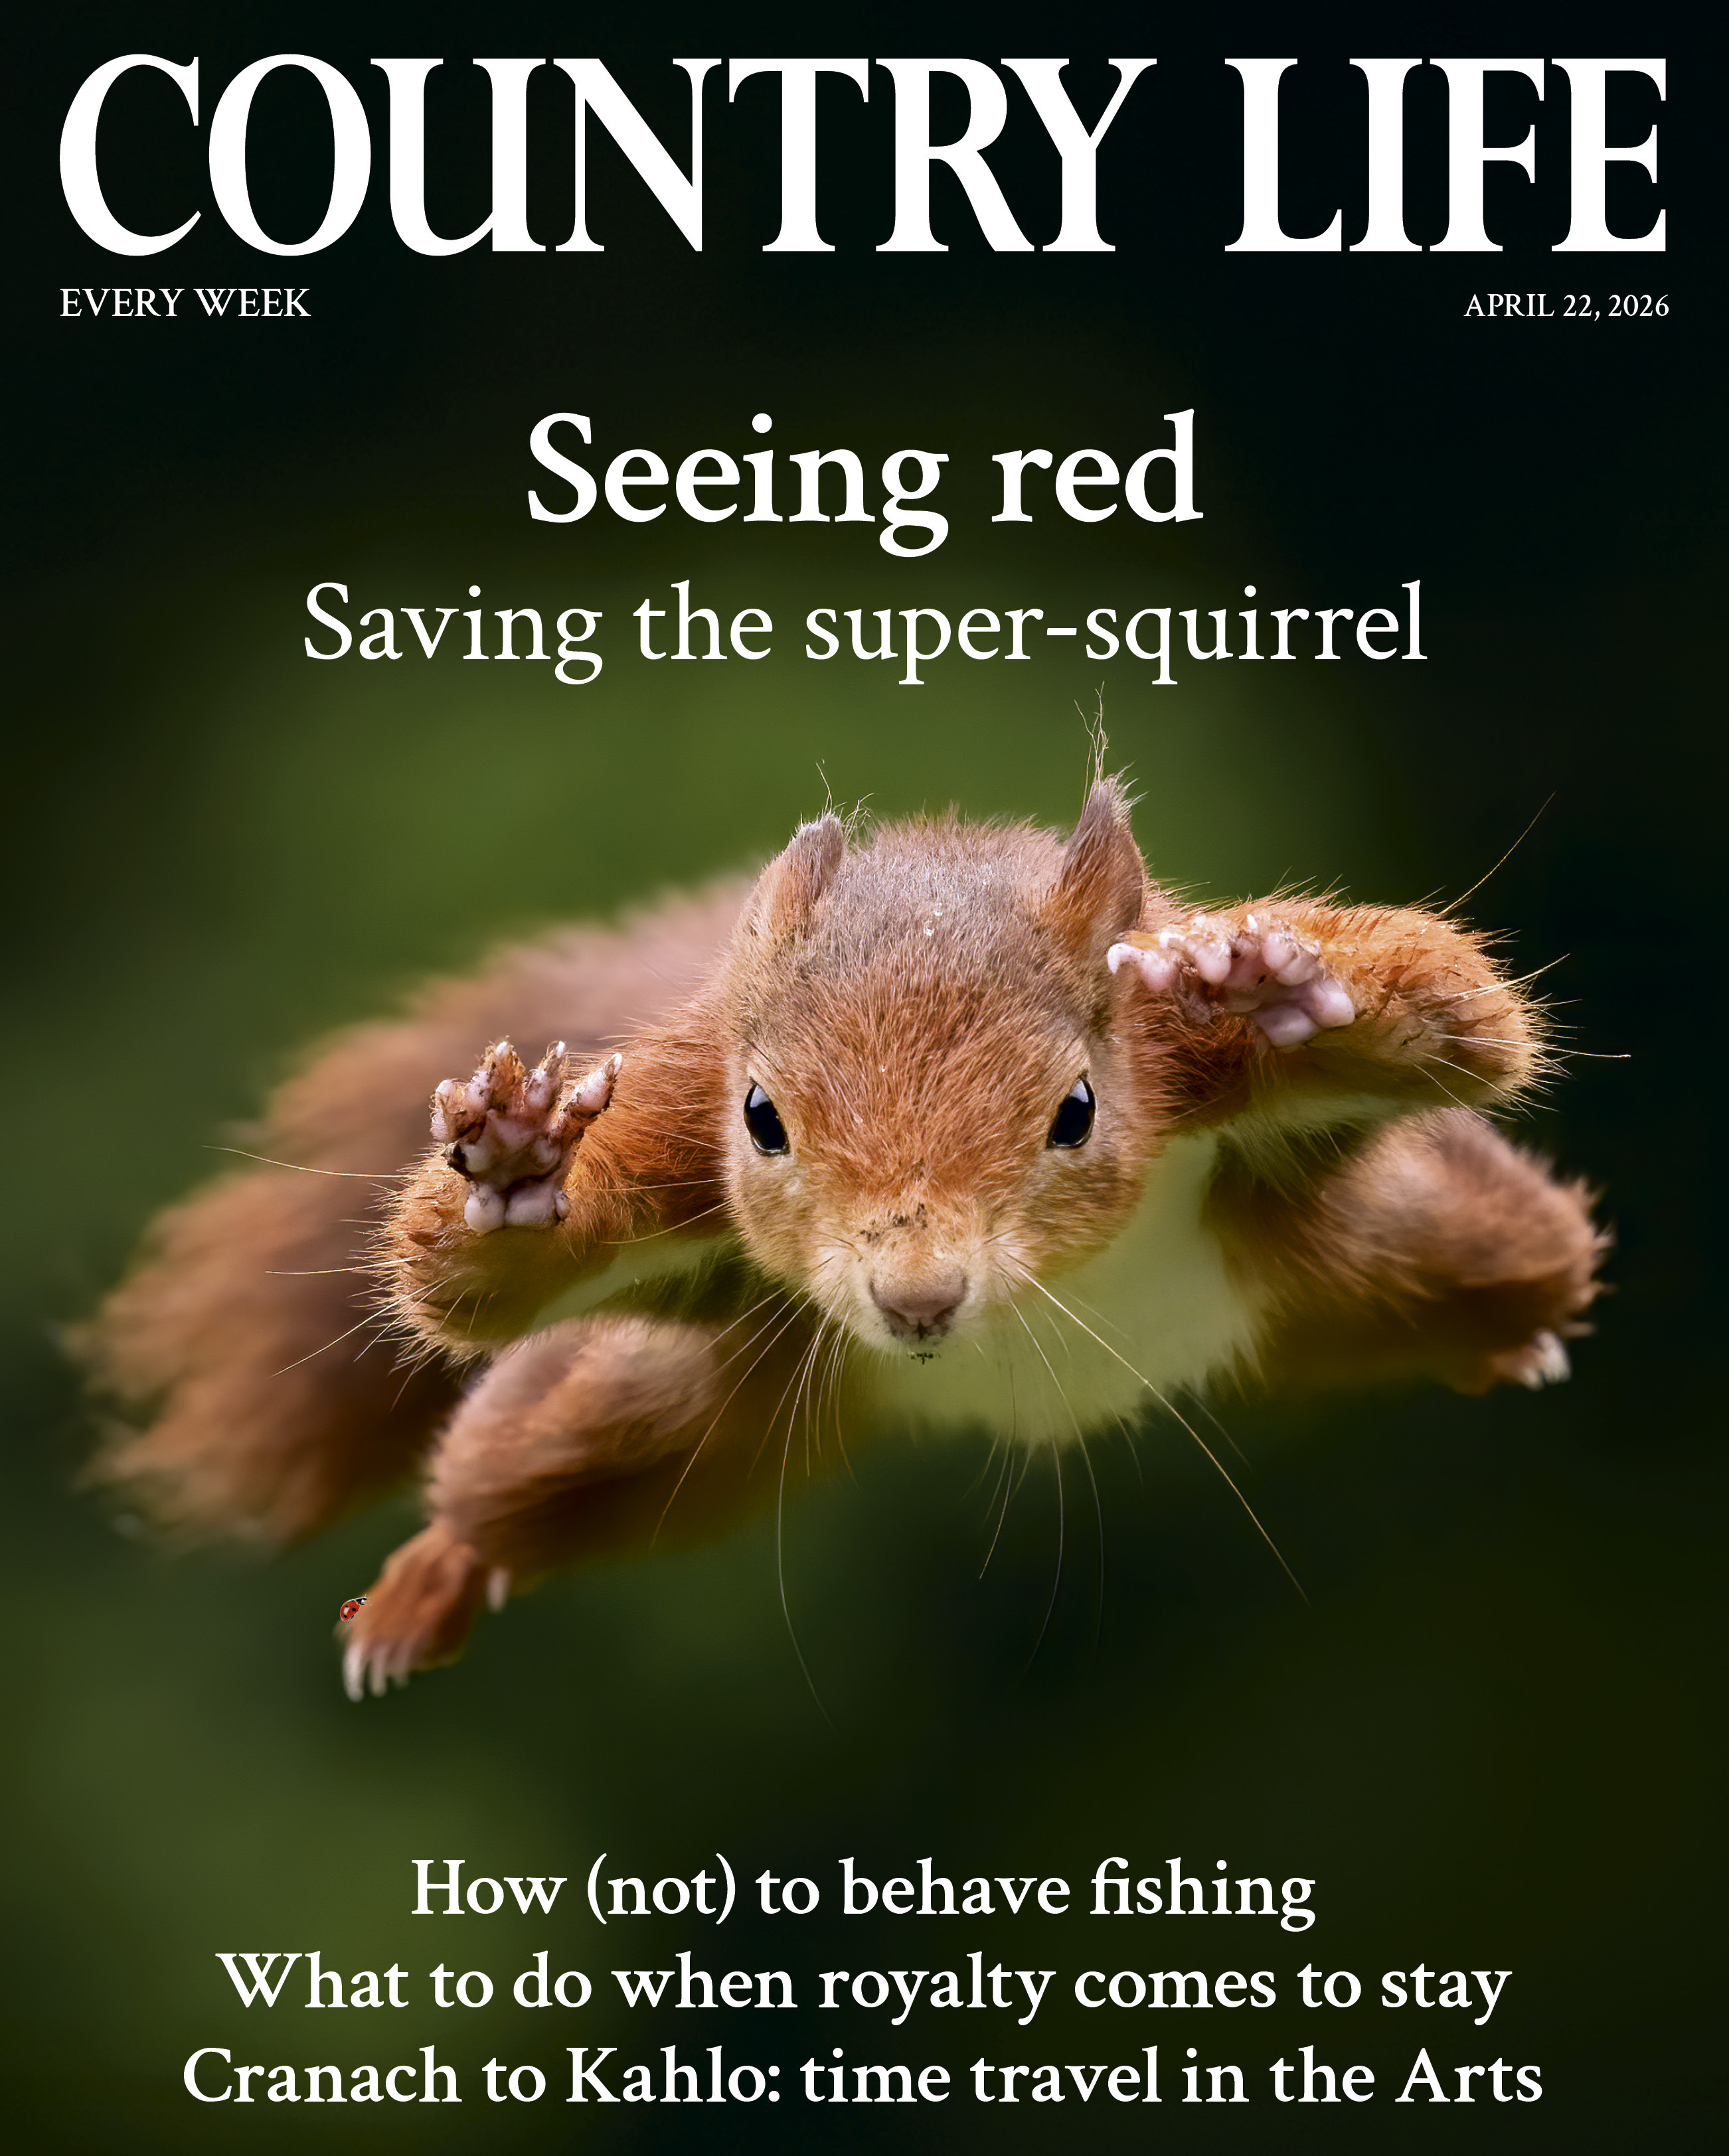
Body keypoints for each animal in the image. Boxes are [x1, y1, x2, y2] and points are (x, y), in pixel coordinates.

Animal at [78, 776, 1604, 1697]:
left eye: (1077, 1108)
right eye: (762, 1117)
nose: (917, 1300)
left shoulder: (1190, 1057)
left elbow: (1470, 1023)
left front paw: (1275, 980)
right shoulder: (673, 1122)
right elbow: (455, 1293)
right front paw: (518, 1168)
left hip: (1406, 1236)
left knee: (1506, 1256)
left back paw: (1517, 1337)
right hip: (652, 1405)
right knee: (514, 1478)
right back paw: (427, 1586)